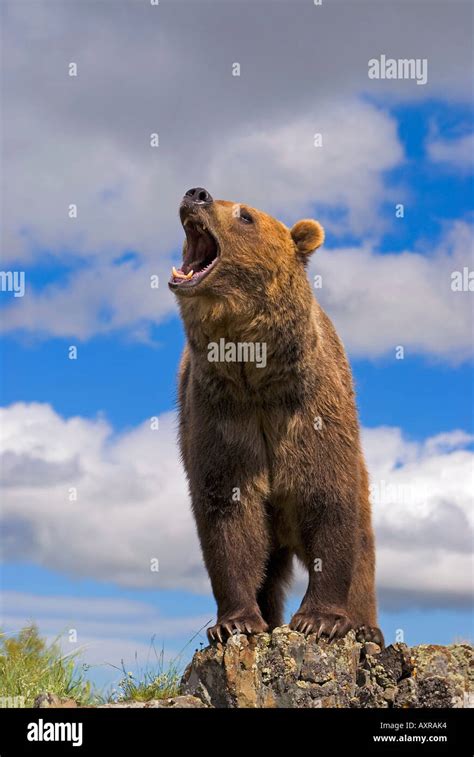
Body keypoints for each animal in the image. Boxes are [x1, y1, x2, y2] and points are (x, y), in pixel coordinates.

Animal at [168, 188, 384, 644]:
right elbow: (228, 514)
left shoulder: (308, 412)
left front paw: (320, 619)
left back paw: (366, 628)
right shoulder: (222, 414)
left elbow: (329, 502)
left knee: (363, 545)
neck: (255, 374)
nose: (196, 194)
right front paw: (235, 621)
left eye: (246, 215)